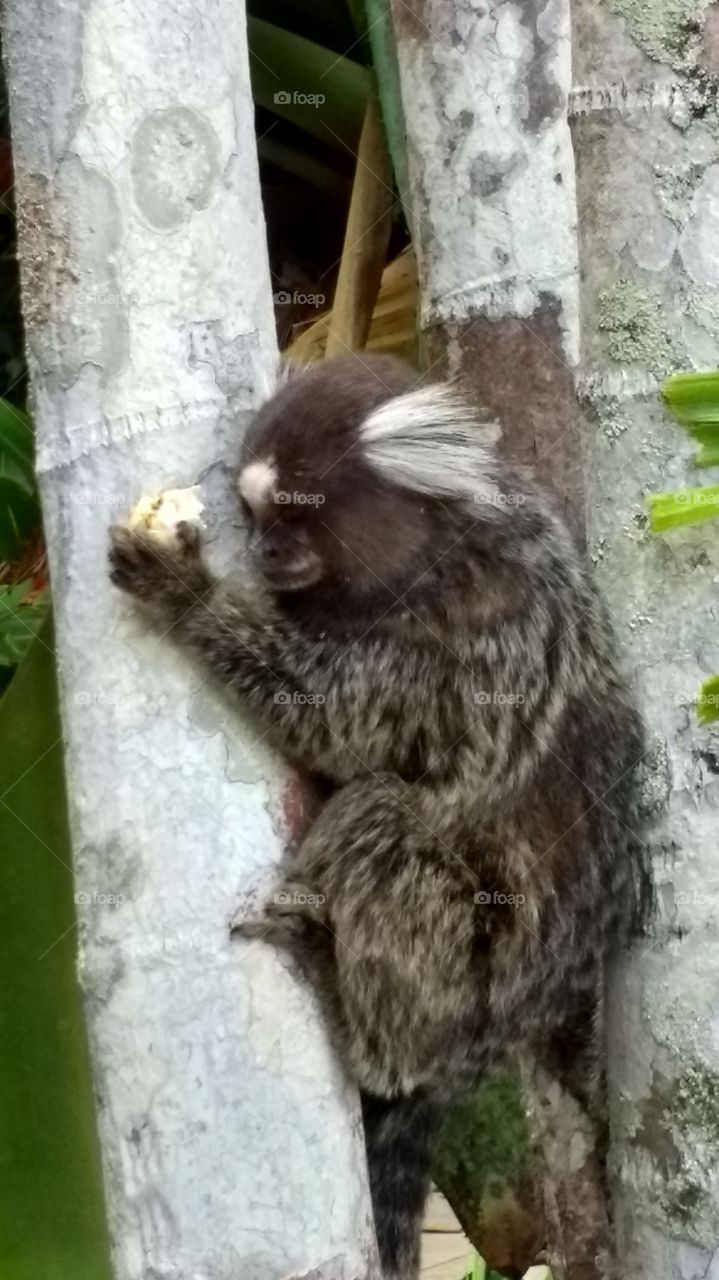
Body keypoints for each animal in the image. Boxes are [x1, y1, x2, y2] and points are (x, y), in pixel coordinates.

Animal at [109, 353, 650, 1280]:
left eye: (295, 512)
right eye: (256, 516)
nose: (264, 550)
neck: (432, 555)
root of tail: (489, 1042)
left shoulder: (461, 645)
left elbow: (337, 726)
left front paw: (186, 593)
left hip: (467, 990)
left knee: (382, 813)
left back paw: (343, 993)